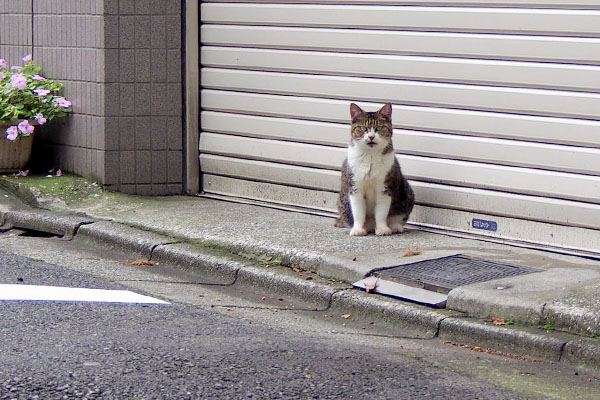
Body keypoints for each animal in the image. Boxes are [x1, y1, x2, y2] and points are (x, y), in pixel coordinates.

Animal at [336, 101, 414, 236]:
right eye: (363, 128)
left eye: (380, 128)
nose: (371, 136)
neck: (370, 156)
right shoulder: (355, 187)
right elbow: (358, 211)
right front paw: (358, 229)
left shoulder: (385, 188)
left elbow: (381, 212)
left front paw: (382, 229)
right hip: (342, 200)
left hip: (407, 191)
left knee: (398, 216)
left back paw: (394, 226)